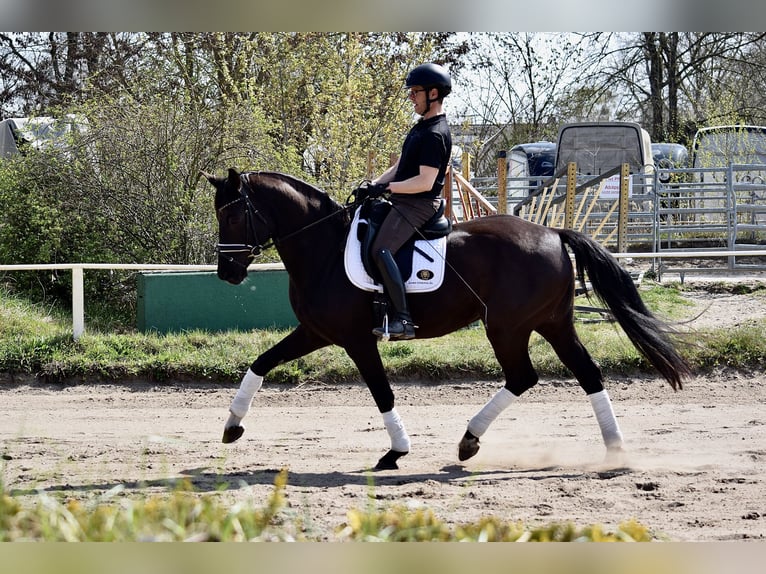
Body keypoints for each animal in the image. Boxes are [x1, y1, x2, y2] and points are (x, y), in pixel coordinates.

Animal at [203, 167, 690, 470]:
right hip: (551, 323)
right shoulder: (316, 332)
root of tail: (552, 233)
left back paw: (472, 439)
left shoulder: (357, 339)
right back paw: (613, 449)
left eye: (233, 214)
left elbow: (381, 392)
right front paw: (231, 426)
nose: (227, 272)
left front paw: (396, 451)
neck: (323, 248)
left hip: (507, 326)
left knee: (525, 376)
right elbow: (261, 363)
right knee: (583, 373)